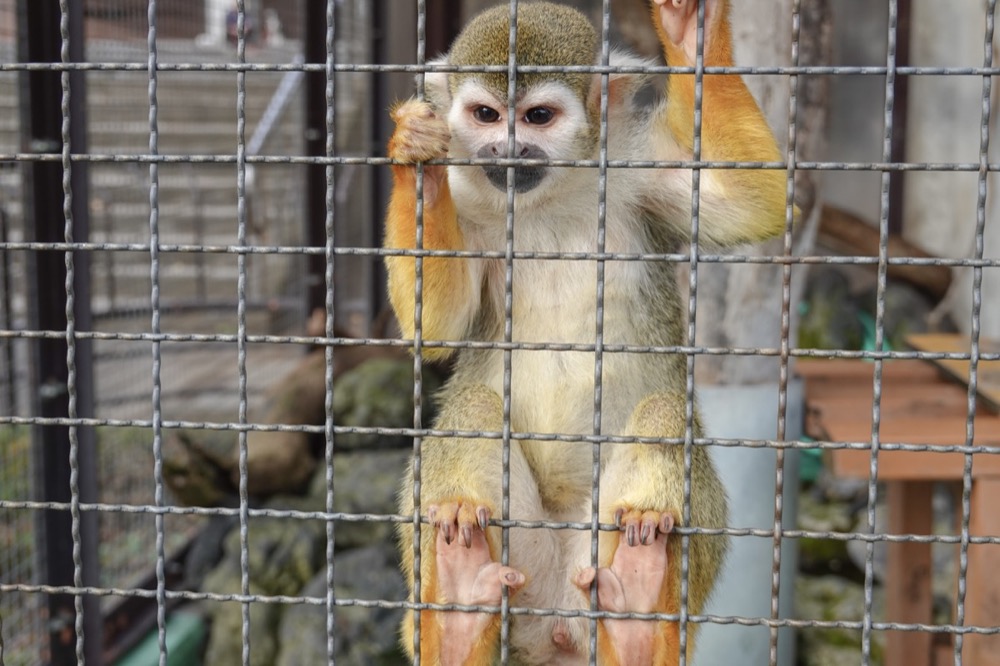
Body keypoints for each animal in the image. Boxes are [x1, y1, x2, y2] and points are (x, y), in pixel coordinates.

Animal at [386, 1, 784, 664]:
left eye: (538, 117)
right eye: (486, 115)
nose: (509, 148)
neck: (549, 195)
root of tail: (555, 627)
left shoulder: (635, 168)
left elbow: (747, 199)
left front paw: (692, 38)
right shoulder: (474, 194)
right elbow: (435, 327)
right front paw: (417, 155)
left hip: (598, 559)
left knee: (663, 414)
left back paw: (638, 608)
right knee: (472, 406)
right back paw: (461, 607)